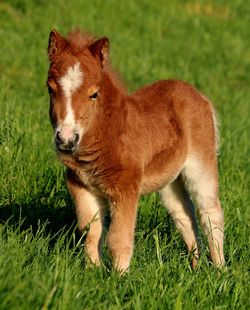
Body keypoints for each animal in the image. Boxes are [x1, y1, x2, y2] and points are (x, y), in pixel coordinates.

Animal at [46, 29, 225, 272]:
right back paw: (195, 267)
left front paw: (118, 278)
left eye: (94, 94)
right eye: (50, 89)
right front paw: (92, 272)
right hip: (169, 179)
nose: (66, 139)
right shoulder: (81, 186)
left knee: (210, 212)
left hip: (201, 165)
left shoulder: (125, 188)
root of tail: (199, 95)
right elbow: (91, 232)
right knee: (184, 214)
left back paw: (220, 270)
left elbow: (118, 239)